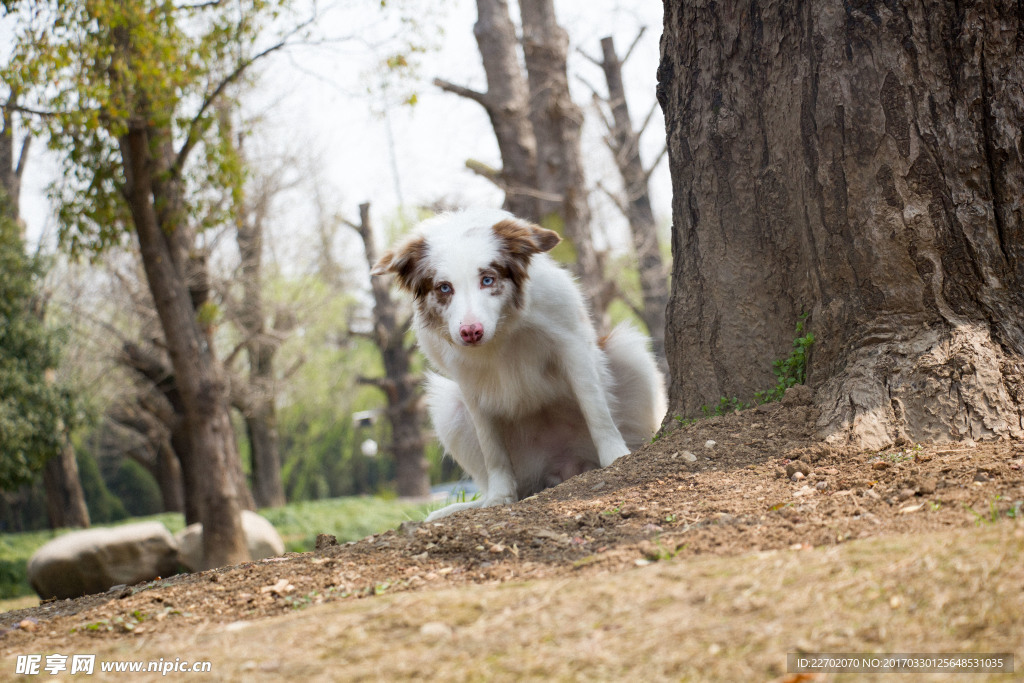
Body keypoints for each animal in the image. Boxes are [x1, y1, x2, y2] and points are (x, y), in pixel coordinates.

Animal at [372, 208, 667, 518]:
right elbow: (492, 449)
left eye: (487, 280)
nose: (471, 332)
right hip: (448, 407)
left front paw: (615, 458)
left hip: (629, 352)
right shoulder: (466, 382)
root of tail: (566, 468)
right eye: (444, 288)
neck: (502, 329)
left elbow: (596, 411)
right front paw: (499, 497)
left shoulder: (572, 345)